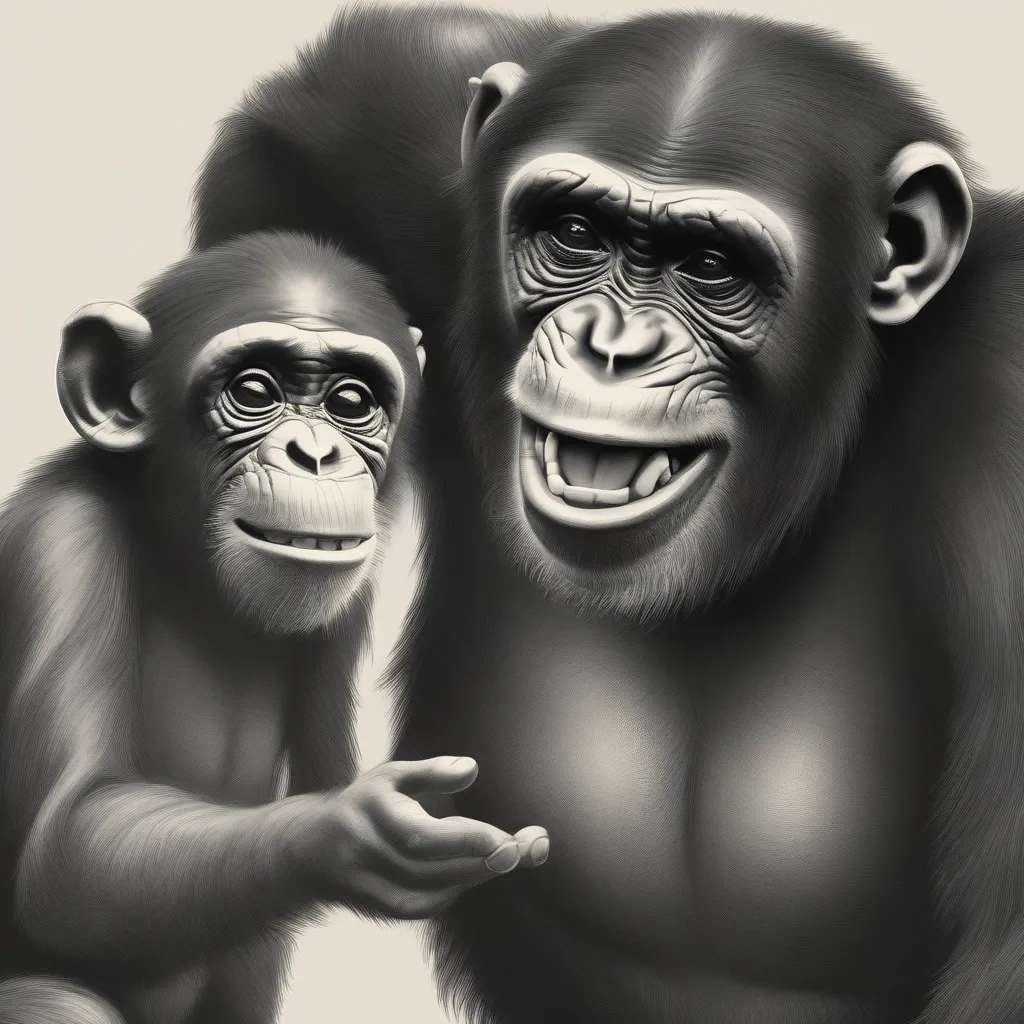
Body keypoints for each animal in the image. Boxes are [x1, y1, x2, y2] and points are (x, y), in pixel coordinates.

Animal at [0, 229, 548, 1024]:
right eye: (254, 392)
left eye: (351, 401)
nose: (315, 454)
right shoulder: (58, 544)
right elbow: (68, 841)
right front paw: (349, 830)